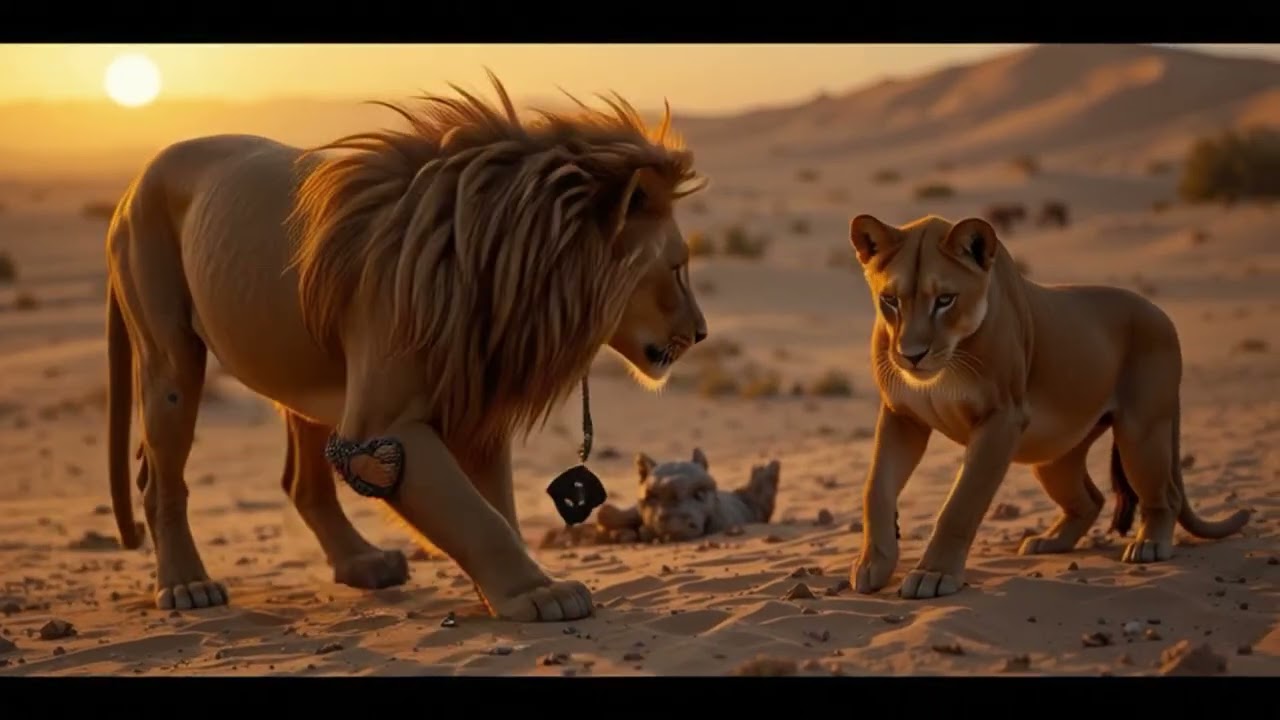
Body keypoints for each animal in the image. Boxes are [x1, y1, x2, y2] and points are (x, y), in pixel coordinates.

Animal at [104, 72, 710, 621]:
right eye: (678, 267)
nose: (703, 333)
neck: (508, 266)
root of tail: (133, 184)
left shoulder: (474, 398)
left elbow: (495, 507)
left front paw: (511, 591)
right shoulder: (383, 427)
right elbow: (476, 516)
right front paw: (538, 595)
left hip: (300, 367)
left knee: (300, 481)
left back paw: (363, 564)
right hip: (170, 357)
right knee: (159, 477)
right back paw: (186, 586)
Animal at [844, 212, 1250, 600]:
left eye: (945, 300)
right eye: (890, 300)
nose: (912, 356)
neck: (949, 363)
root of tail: (1161, 313)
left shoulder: (1002, 419)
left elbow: (961, 503)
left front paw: (934, 575)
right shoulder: (903, 416)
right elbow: (875, 487)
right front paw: (873, 564)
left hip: (1141, 433)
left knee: (1165, 494)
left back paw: (1149, 544)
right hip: (1052, 457)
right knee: (1090, 499)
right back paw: (1049, 541)